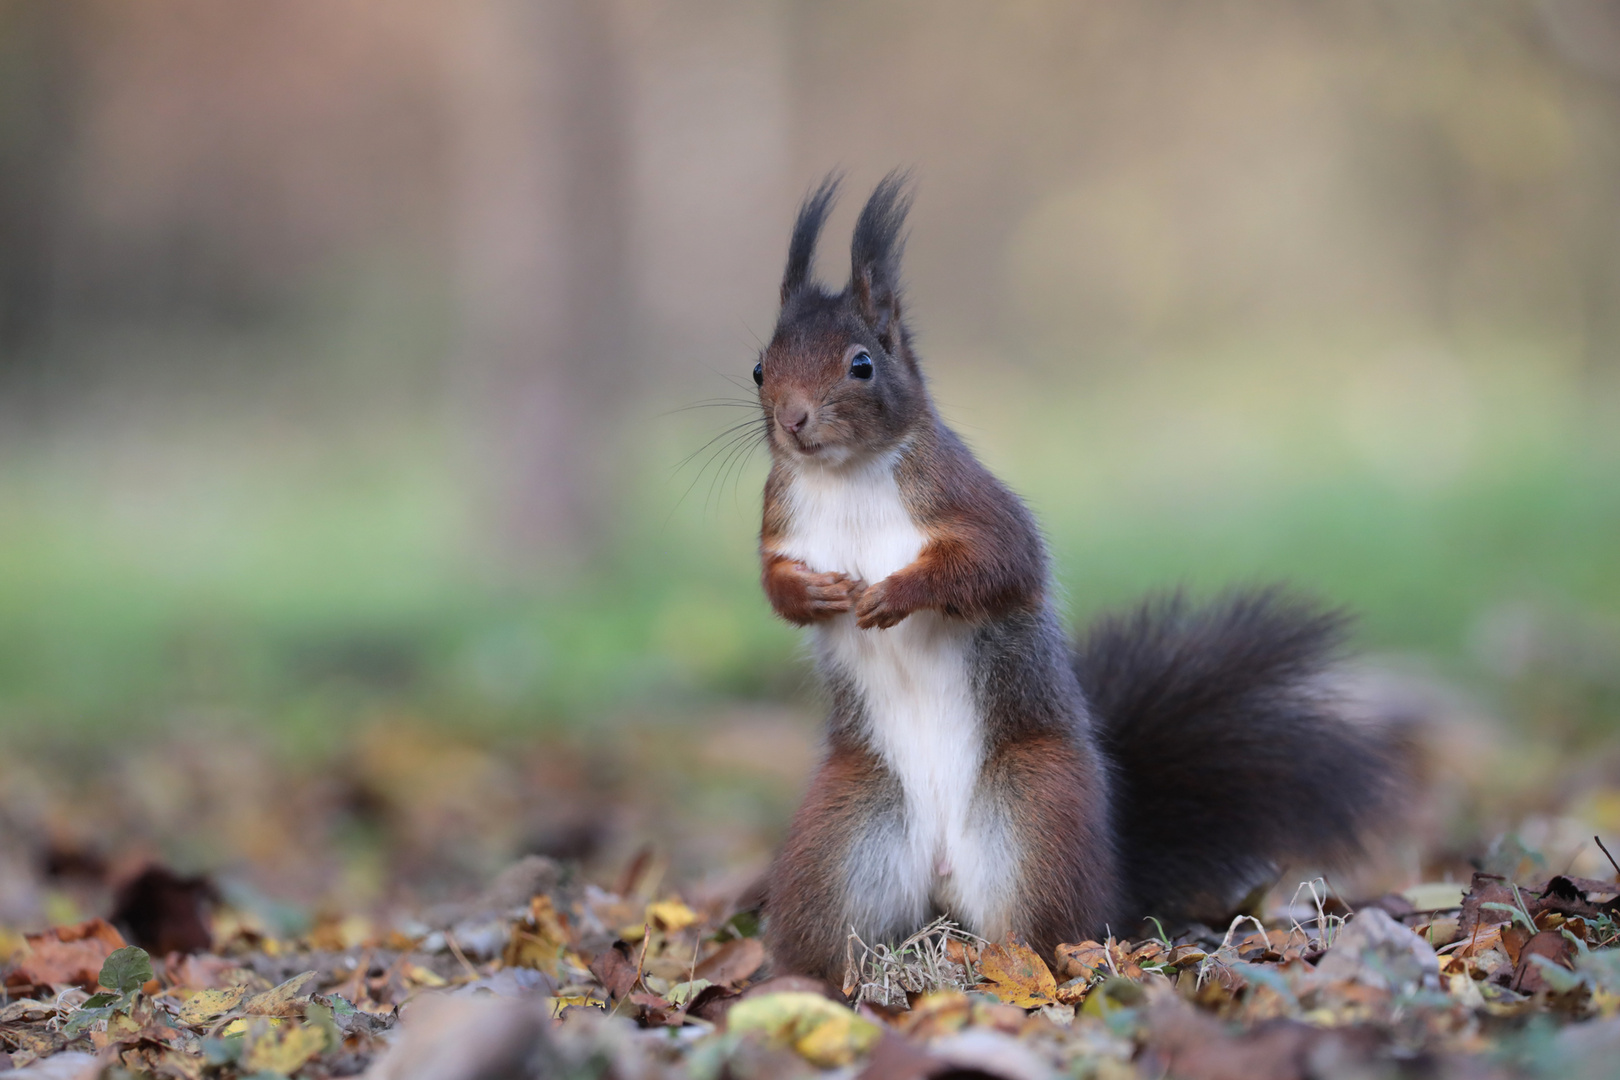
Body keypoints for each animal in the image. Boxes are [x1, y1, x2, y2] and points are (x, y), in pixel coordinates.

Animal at [745, 170, 1393, 990]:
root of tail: (943, 875)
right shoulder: (780, 523)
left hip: (1036, 813)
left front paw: (894, 593)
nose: (793, 419)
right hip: (844, 838)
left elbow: (999, 565)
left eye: (861, 364)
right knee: (831, 926)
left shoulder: (968, 502)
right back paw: (812, 983)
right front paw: (816, 595)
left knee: (1045, 934)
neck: (848, 477)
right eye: (759, 367)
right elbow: (774, 582)